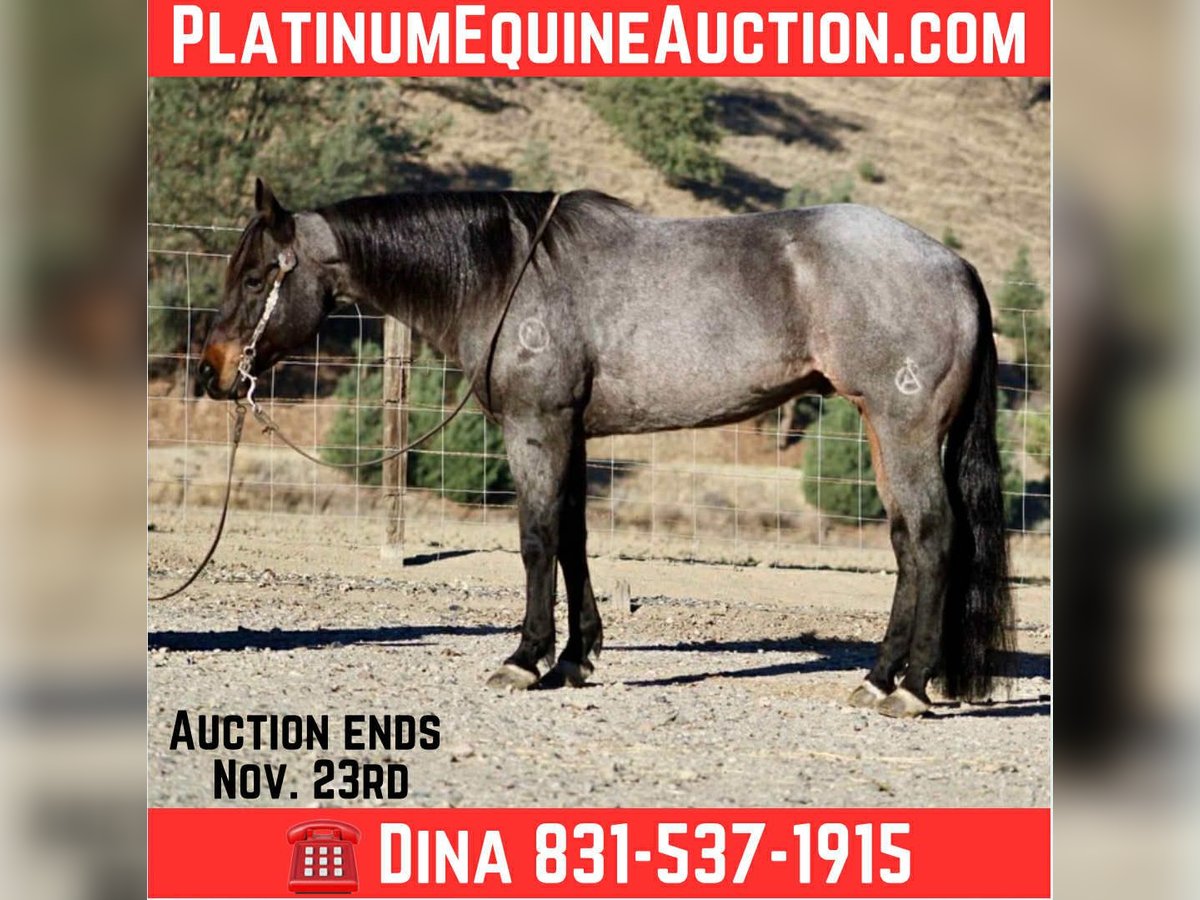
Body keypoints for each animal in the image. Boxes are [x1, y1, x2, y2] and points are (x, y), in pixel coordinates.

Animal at [199, 179, 1013, 718]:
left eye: (255, 276)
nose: (212, 372)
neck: (506, 275)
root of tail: (955, 266)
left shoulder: (536, 427)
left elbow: (536, 540)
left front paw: (524, 660)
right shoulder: (572, 433)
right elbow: (572, 539)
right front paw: (575, 658)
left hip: (904, 431)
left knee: (932, 539)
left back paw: (910, 688)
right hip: (882, 429)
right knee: (907, 544)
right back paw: (880, 677)